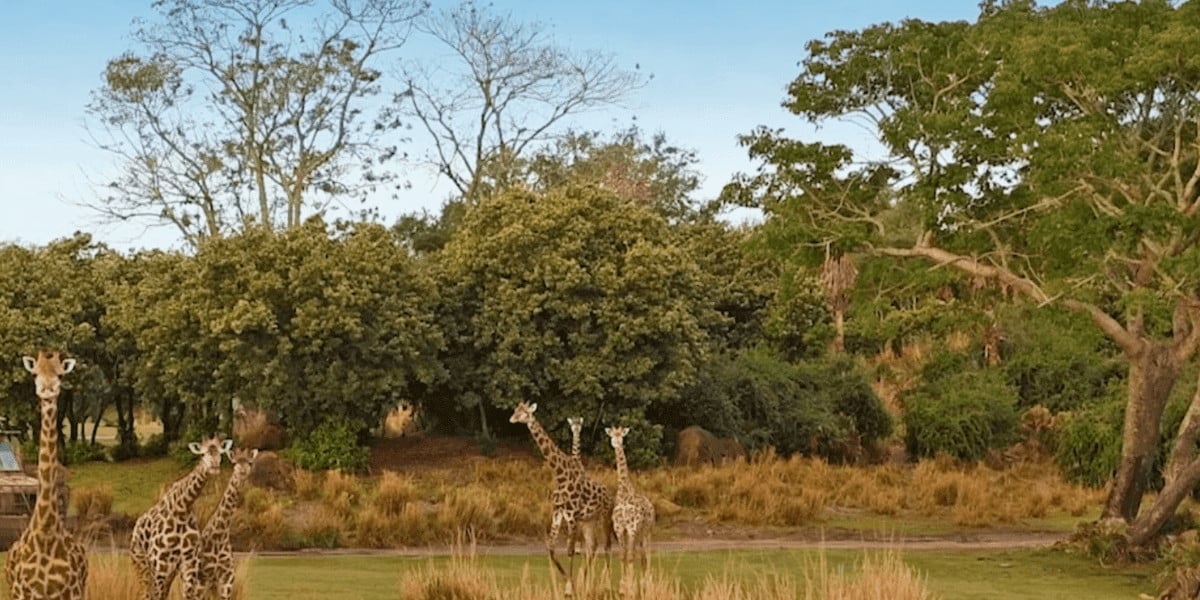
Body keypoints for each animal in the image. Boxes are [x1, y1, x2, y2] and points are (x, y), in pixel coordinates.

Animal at [4, 350, 87, 600]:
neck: (46, 532)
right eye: (35, 373)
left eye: (60, 375)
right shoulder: (24, 592)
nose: (47, 389)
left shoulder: (71, 591)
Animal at [132, 436, 232, 600]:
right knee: (146, 593)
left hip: (169, 571)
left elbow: (188, 595)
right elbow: (156, 595)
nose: (214, 466)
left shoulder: (189, 562)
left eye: (220, 453)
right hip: (141, 563)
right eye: (202, 454)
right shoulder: (159, 560)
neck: (182, 507)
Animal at [196, 448, 258, 600]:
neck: (220, 535)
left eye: (250, 462)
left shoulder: (227, 579)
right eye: (234, 463)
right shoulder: (204, 579)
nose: (242, 472)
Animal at [511, 403, 614, 595]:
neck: (560, 475)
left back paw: (606, 583)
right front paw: (569, 582)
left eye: (525, 412)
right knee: (593, 546)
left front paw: (570, 588)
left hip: (603, 518)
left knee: (606, 547)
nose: (512, 418)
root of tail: (611, 494)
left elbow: (570, 550)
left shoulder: (572, 516)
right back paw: (587, 582)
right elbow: (551, 548)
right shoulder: (558, 513)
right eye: (515, 410)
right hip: (589, 520)